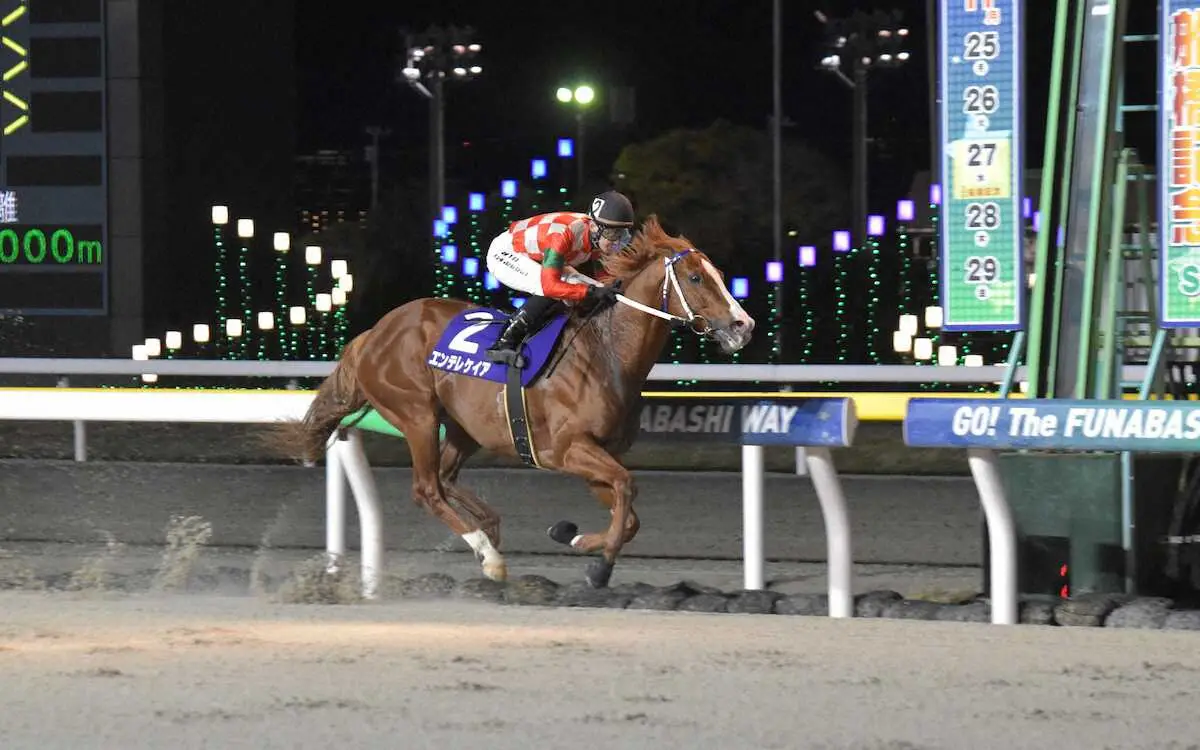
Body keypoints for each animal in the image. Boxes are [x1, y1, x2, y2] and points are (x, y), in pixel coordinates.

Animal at [267, 214, 754, 589]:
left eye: (719, 275)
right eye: (696, 277)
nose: (743, 325)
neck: (607, 352)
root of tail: (373, 333)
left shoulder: (600, 454)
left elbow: (627, 509)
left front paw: (573, 536)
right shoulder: (568, 449)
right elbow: (625, 487)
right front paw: (599, 570)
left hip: (463, 425)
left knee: (445, 478)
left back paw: (491, 529)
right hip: (417, 414)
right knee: (427, 489)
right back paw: (489, 556)